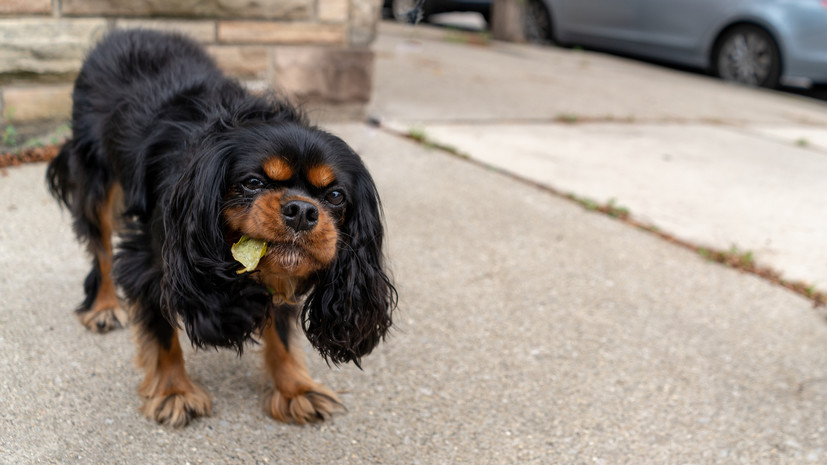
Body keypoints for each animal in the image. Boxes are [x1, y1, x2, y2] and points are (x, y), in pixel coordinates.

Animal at [45, 29, 398, 428]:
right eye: (253, 183)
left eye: (335, 196)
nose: (303, 211)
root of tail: (121, 32)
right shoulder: (151, 261)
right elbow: (161, 332)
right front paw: (174, 392)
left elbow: (282, 331)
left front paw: (295, 388)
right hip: (96, 183)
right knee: (102, 249)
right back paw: (104, 306)